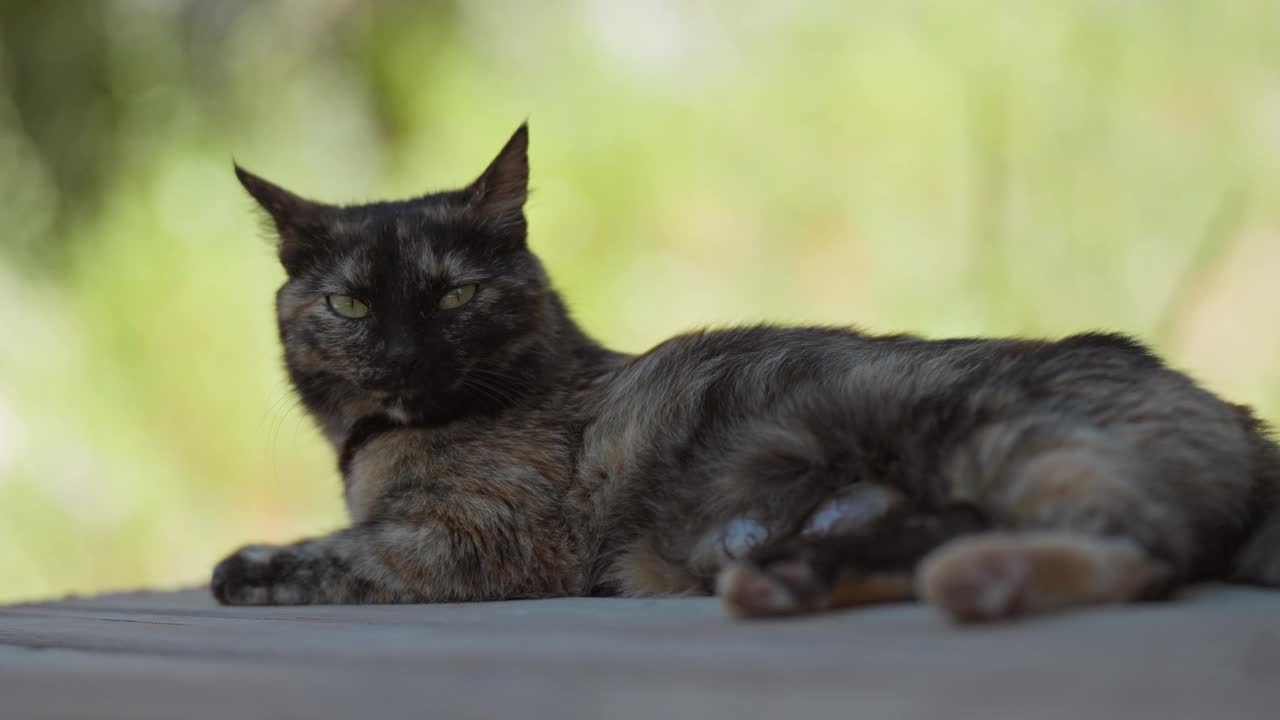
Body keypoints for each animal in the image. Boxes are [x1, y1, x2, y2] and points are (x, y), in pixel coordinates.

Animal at [215, 121, 1280, 617]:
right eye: (352, 305)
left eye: (452, 297)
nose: (399, 355)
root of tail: (1240, 418)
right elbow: (323, 536)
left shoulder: (469, 541)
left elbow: (331, 558)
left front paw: (253, 565)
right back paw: (784, 573)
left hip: (994, 430)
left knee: (1139, 550)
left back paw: (974, 581)